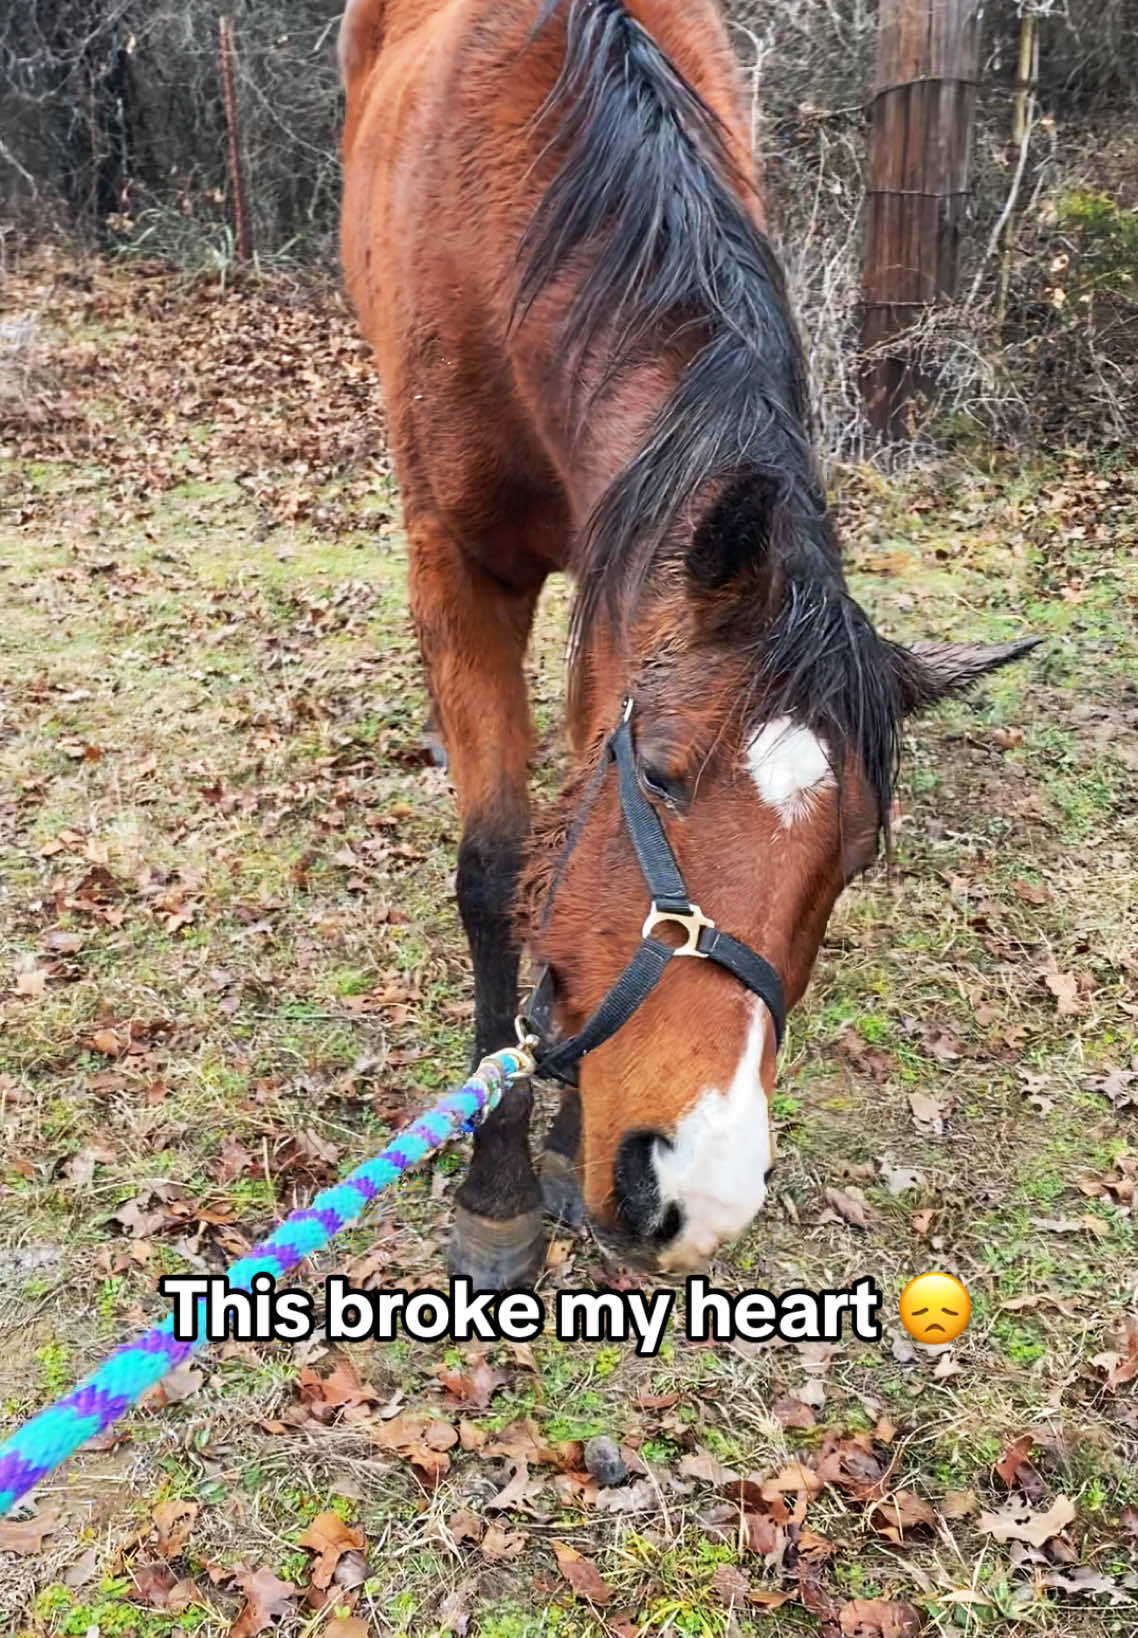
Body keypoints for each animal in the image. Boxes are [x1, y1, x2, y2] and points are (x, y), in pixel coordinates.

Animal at [339, 0, 1035, 1289]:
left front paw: (566, 1127)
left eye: (856, 856)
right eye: (659, 776)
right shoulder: (457, 566)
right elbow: (497, 872)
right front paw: (498, 1186)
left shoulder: (620, 573)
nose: (692, 1190)